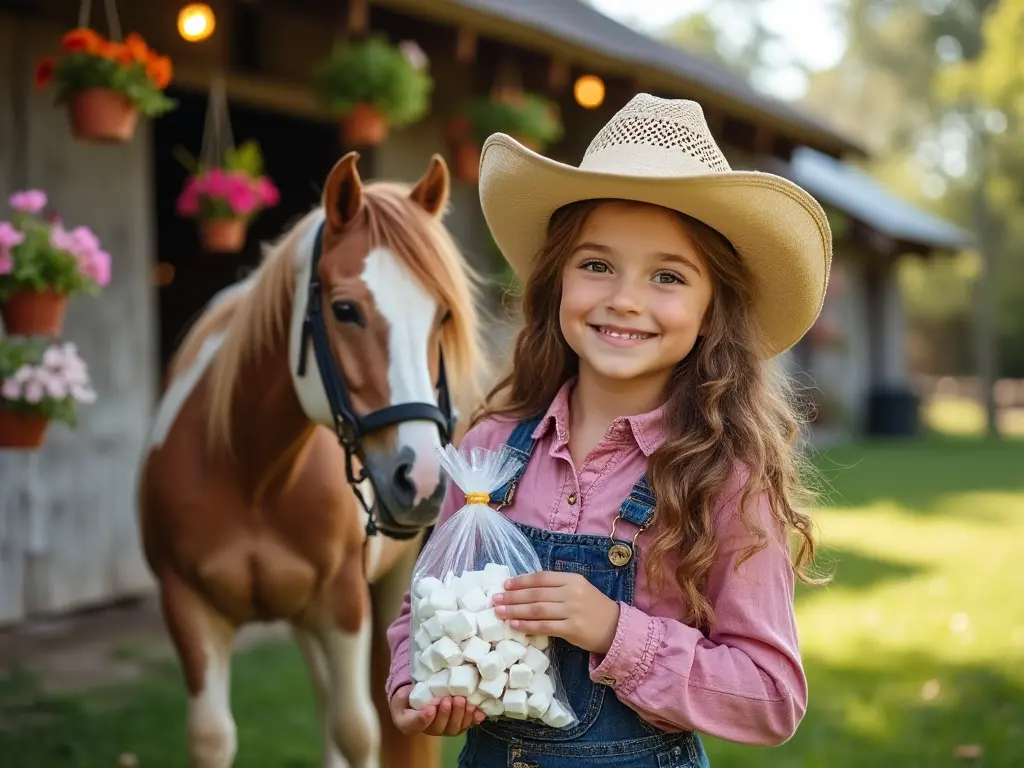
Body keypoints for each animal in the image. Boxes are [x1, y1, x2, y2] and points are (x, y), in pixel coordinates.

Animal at [138, 153, 485, 765]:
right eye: (344, 310)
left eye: (442, 316)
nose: (419, 482)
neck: (253, 475)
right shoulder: (189, 609)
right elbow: (213, 737)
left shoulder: (342, 605)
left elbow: (358, 729)